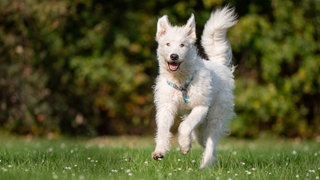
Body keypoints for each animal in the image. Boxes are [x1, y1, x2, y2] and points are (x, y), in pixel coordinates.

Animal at [151, 5, 236, 169]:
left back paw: (205, 164)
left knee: (211, 140)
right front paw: (160, 151)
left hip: (215, 116)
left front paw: (184, 146)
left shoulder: (200, 107)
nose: (174, 56)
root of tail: (219, 65)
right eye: (168, 44)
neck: (180, 81)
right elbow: (163, 130)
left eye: (182, 45)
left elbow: (184, 126)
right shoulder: (166, 107)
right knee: (204, 140)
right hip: (200, 128)